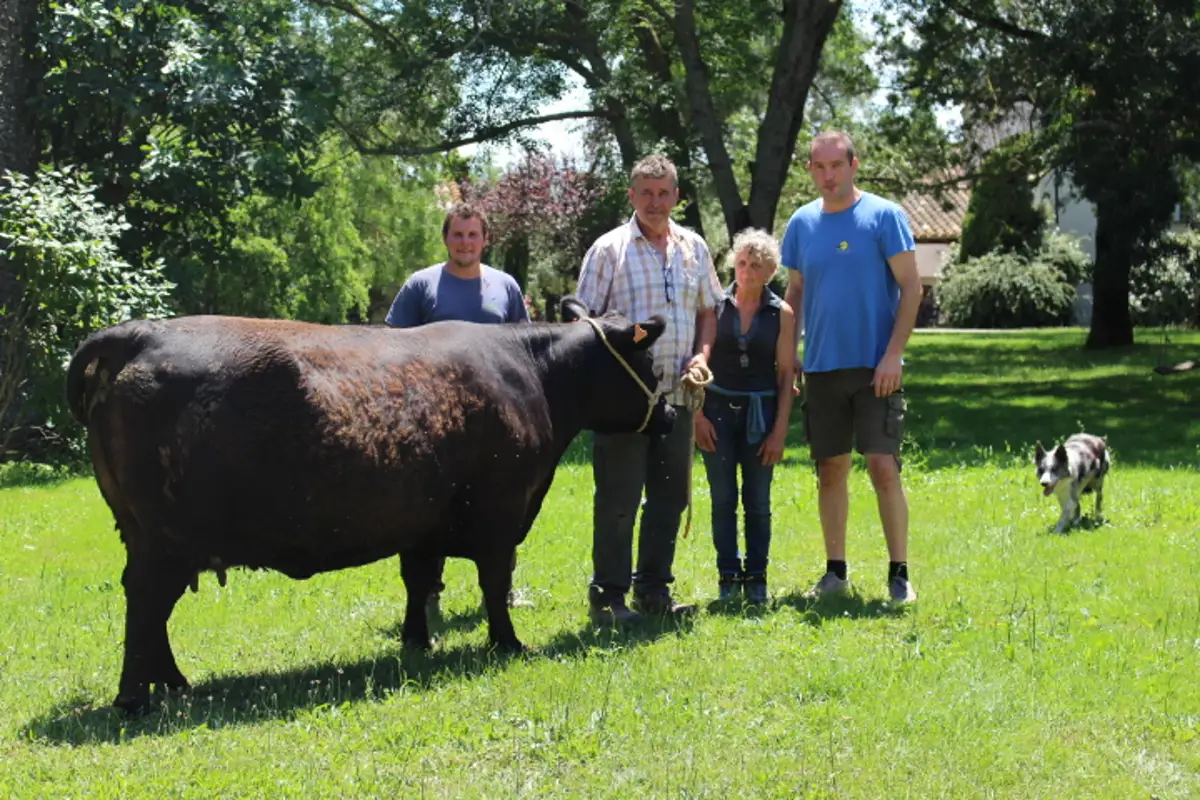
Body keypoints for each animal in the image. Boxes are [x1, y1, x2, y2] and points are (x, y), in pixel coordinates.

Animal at [65, 297, 673, 714]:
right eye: (651, 366)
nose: (668, 415)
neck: (534, 374)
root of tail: (140, 332)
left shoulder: (423, 521)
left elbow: (418, 581)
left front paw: (417, 642)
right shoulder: (501, 512)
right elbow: (494, 583)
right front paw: (508, 644)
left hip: (152, 534)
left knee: (152, 611)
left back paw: (172, 682)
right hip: (165, 538)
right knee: (147, 601)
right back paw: (136, 698)